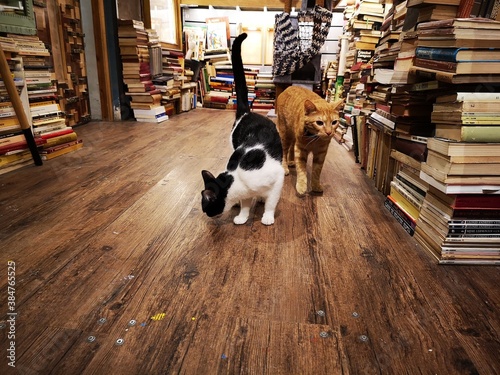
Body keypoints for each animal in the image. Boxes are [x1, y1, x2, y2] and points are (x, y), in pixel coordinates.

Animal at [201, 33, 284, 225]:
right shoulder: (246, 192)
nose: (205, 213)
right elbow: (245, 203)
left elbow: (271, 202)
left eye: (206, 206)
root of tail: (247, 113)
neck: (237, 178)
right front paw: (242, 216)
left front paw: (267, 216)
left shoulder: (278, 178)